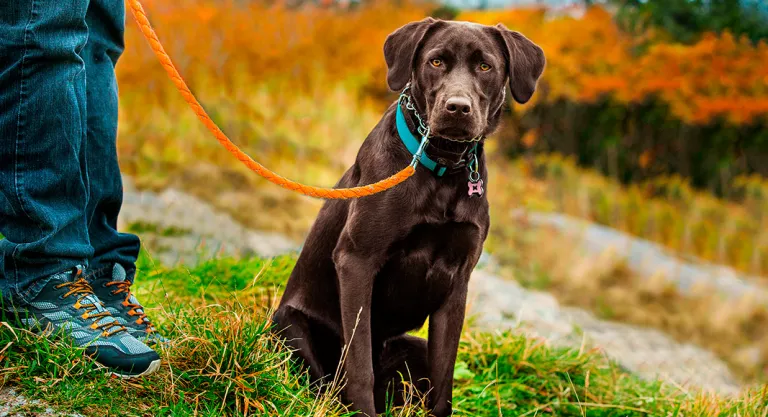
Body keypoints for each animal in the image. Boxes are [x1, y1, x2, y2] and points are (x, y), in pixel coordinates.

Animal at [272, 17, 544, 414]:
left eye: (485, 66)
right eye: (436, 61)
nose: (457, 108)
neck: (443, 167)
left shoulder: (457, 283)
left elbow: (443, 382)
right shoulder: (357, 260)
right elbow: (359, 366)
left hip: (411, 347)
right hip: (288, 322)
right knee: (327, 384)